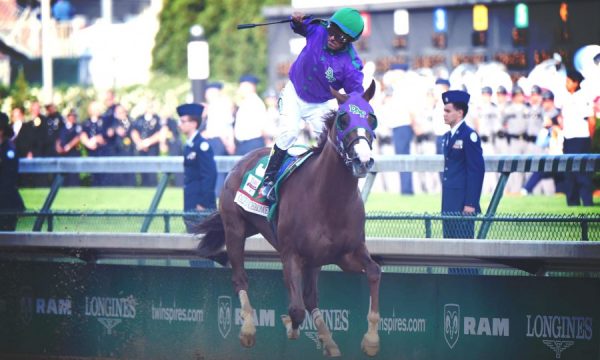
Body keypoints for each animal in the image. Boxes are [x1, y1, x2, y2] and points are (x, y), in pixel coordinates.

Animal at [197, 81, 384, 358]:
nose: (363, 160)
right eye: (343, 119)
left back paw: (329, 342)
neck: (329, 199)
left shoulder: (346, 253)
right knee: (240, 278)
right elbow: (295, 309)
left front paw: (371, 340)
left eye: (372, 118)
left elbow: (373, 271)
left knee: (310, 296)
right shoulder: (291, 254)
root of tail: (243, 159)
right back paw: (248, 330)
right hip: (235, 229)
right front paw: (289, 326)